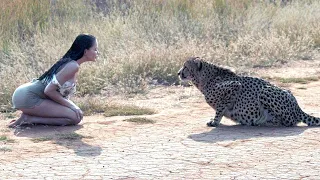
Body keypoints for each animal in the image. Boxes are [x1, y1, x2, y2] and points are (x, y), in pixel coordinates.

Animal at [178, 56, 320, 126]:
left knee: (290, 121)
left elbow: (220, 109)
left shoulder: (234, 86)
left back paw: (264, 121)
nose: (178, 73)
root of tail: (297, 106)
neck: (205, 79)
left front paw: (215, 121)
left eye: (185, 67)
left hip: (264, 92)